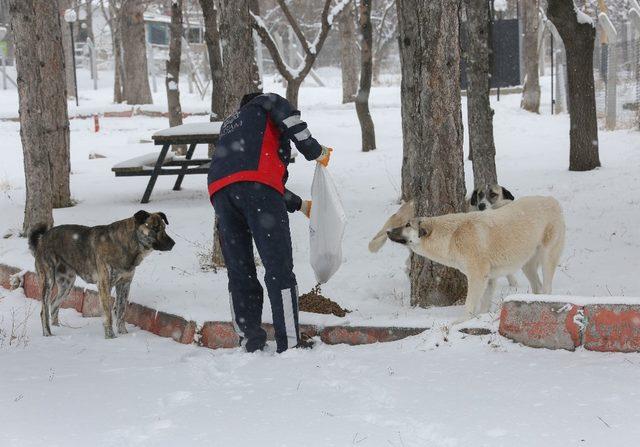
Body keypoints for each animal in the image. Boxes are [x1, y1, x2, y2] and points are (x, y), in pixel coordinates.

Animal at [28, 212, 175, 338]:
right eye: (155, 228)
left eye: (164, 227)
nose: (173, 243)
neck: (126, 244)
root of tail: (42, 239)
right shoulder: (105, 285)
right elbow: (108, 314)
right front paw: (110, 337)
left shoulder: (124, 284)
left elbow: (122, 312)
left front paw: (124, 333)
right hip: (48, 280)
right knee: (44, 311)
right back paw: (48, 334)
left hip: (67, 283)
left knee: (54, 305)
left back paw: (57, 328)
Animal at [384, 198, 564, 320]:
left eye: (408, 225)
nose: (387, 231)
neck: (451, 236)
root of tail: (553, 200)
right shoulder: (489, 278)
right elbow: (484, 304)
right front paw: (481, 318)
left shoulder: (477, 277)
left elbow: (469, 304)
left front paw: (461, 322)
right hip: (527, 265)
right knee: (537, 286)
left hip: (547, 258)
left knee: (547, 286)